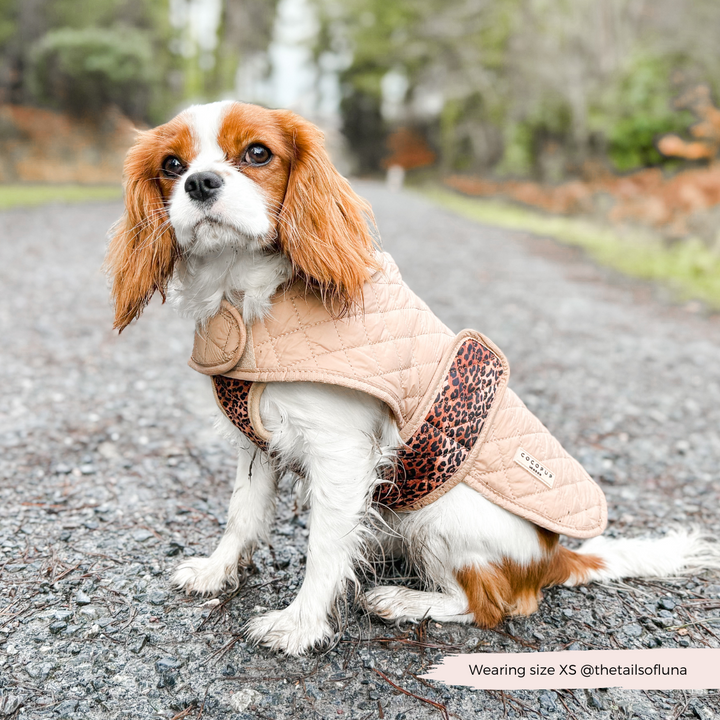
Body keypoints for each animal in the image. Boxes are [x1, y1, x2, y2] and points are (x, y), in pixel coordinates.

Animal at [107, 101, 720, 660]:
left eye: (257, 154)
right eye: (172, 164)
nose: (200, 182)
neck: (249, 294)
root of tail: (554, 556)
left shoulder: (342, 456)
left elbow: (325, 547)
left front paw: (300, 625)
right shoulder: (254, 445)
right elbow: (241, 515)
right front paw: (217, 572)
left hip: (439, 513)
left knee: (491, 605)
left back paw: (404, 600)